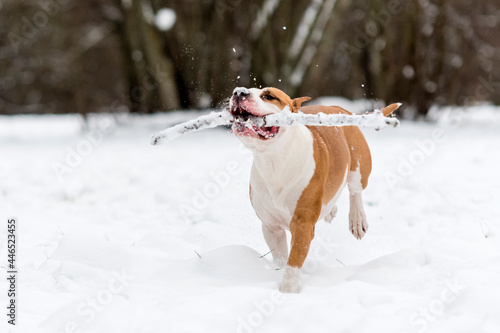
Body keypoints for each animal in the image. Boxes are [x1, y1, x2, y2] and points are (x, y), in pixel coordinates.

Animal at [229, 85, 398, 290]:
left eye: (268, 96)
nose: (238, 92)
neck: (274, 160)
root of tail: (337, 108)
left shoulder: (302, 225)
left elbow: (293, 262)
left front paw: (287, 290)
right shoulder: (270, 227)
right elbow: (281, 258)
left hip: (359, 162)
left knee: (355, 189)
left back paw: (357, 219)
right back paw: (330, 210)